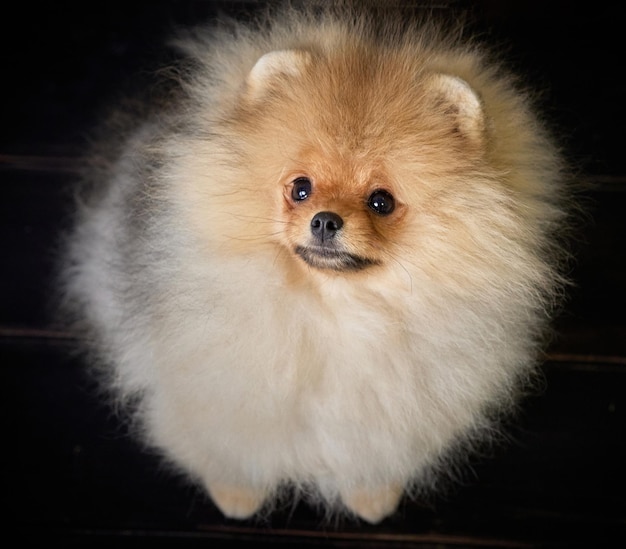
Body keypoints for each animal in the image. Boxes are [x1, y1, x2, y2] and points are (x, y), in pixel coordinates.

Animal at [61, 1, 568, 524]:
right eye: (300, 188)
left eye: (382, 201)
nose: (325, 220)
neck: (335, 311)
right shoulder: (215, 384)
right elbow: (226, 438)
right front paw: (236, 494)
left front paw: (372, 497)